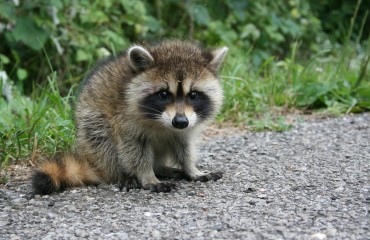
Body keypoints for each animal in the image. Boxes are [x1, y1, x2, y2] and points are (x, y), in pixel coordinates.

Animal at [32, 39, 228, 193]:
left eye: (193, 95)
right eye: (164, 94)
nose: (180, 121)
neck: (162, 123)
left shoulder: (187, 126)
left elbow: (184, 147)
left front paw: (191, 169)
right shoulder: (125, 119)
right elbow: (134, 150)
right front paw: (147, 176)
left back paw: (161, 168)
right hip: (91, 123)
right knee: (103, 140)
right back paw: (123, 174)